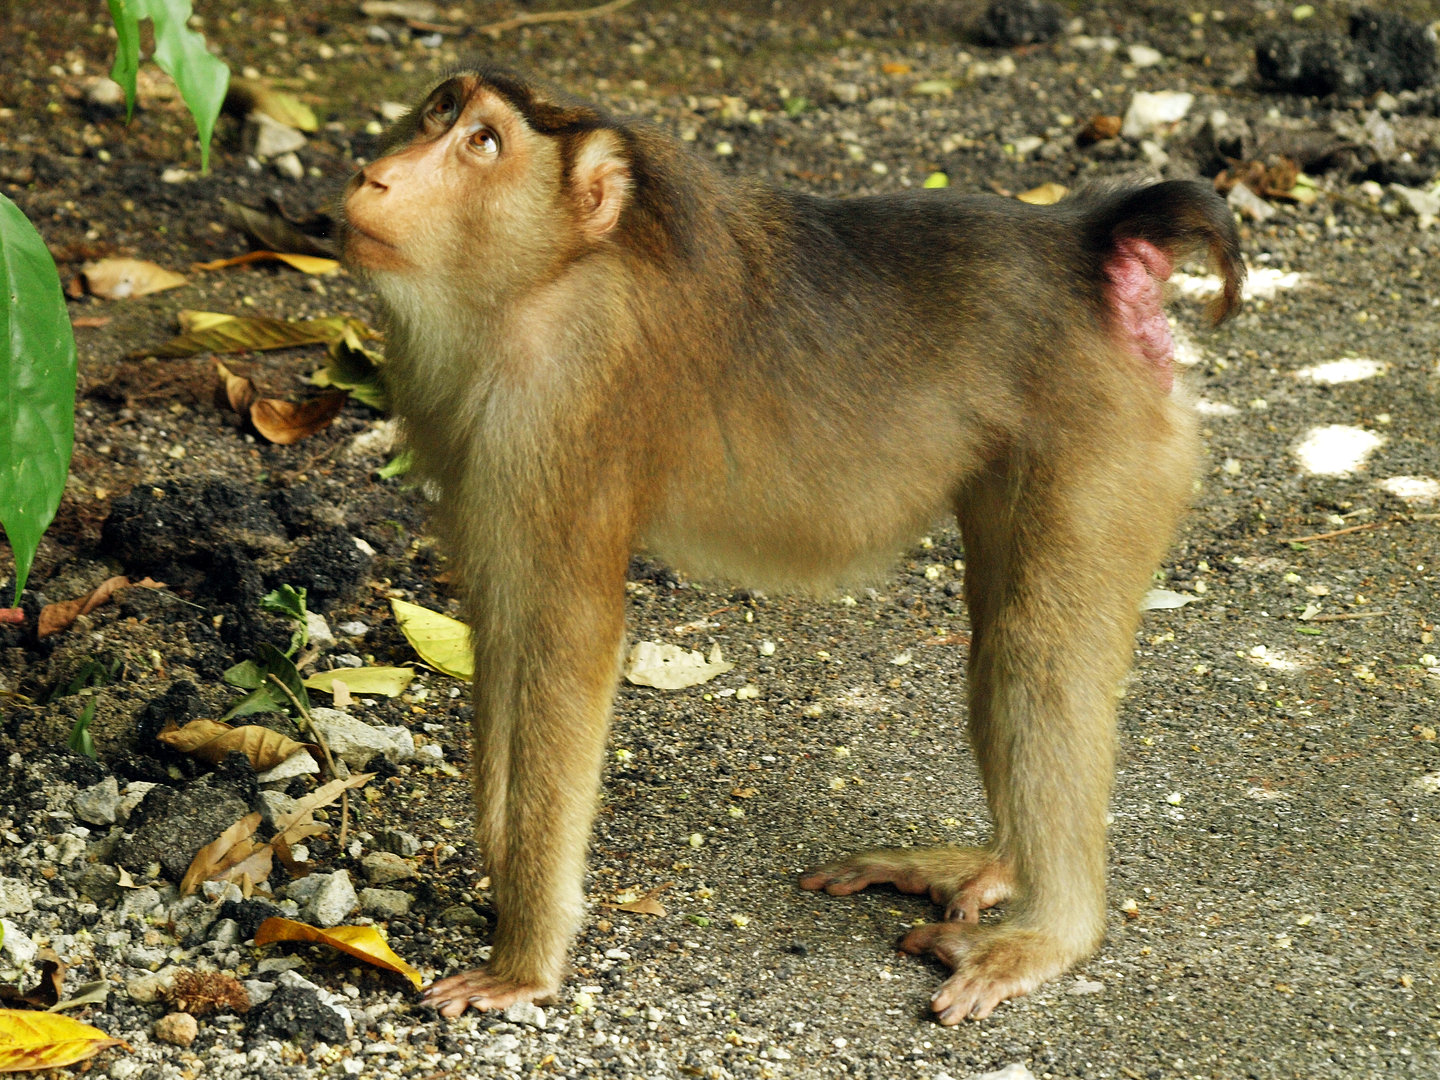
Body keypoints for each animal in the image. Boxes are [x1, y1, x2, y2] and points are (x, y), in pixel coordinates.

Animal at [342, 66, 1243, 1024]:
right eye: (437, 113)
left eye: (482, 143)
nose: (374, 175)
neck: (548, 278)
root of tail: (1090, 243)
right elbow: (503, 619)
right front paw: (498, 858)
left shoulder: (562, 410)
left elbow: (567, 639)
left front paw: (525, 958)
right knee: (1004, 635)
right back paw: (994, 866)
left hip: (1107, 439)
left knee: (1040, 653)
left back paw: (1054, 931)